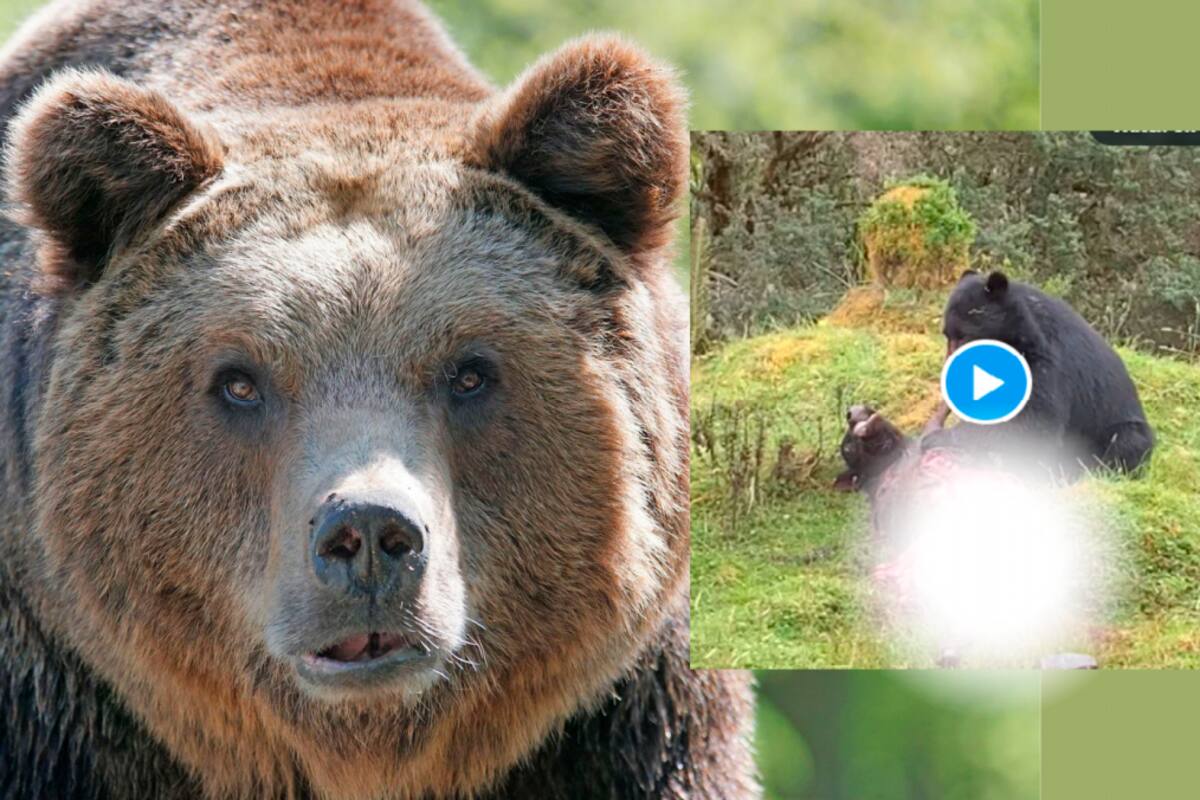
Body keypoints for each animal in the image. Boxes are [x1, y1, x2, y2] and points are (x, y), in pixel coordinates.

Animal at [928, 270, 1154, 478]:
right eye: (947, 335)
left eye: (964, 336)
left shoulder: (1046, 363)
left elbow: (1035, 422)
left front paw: (939, 438)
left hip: (1116, 428)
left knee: (1126, 444)